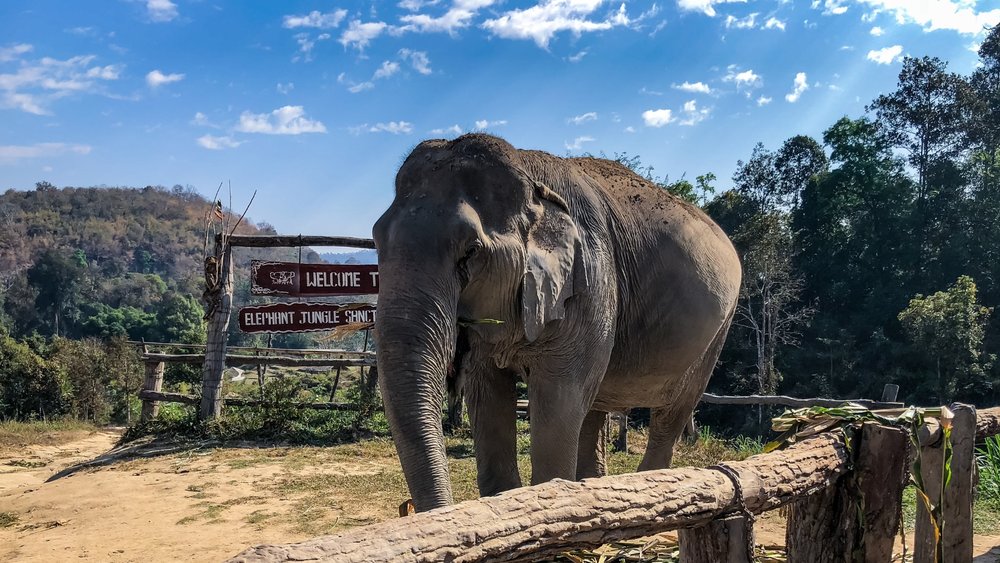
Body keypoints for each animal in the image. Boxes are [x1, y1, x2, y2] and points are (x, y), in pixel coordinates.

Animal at [373, 133, 741, 512]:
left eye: (470, 252)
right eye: (375, 240)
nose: (408, 508)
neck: (529, 174)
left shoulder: (589, 280)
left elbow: (558, 398)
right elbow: (487, 394)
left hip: (716, 333)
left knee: (672, 413)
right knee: (594, 406)